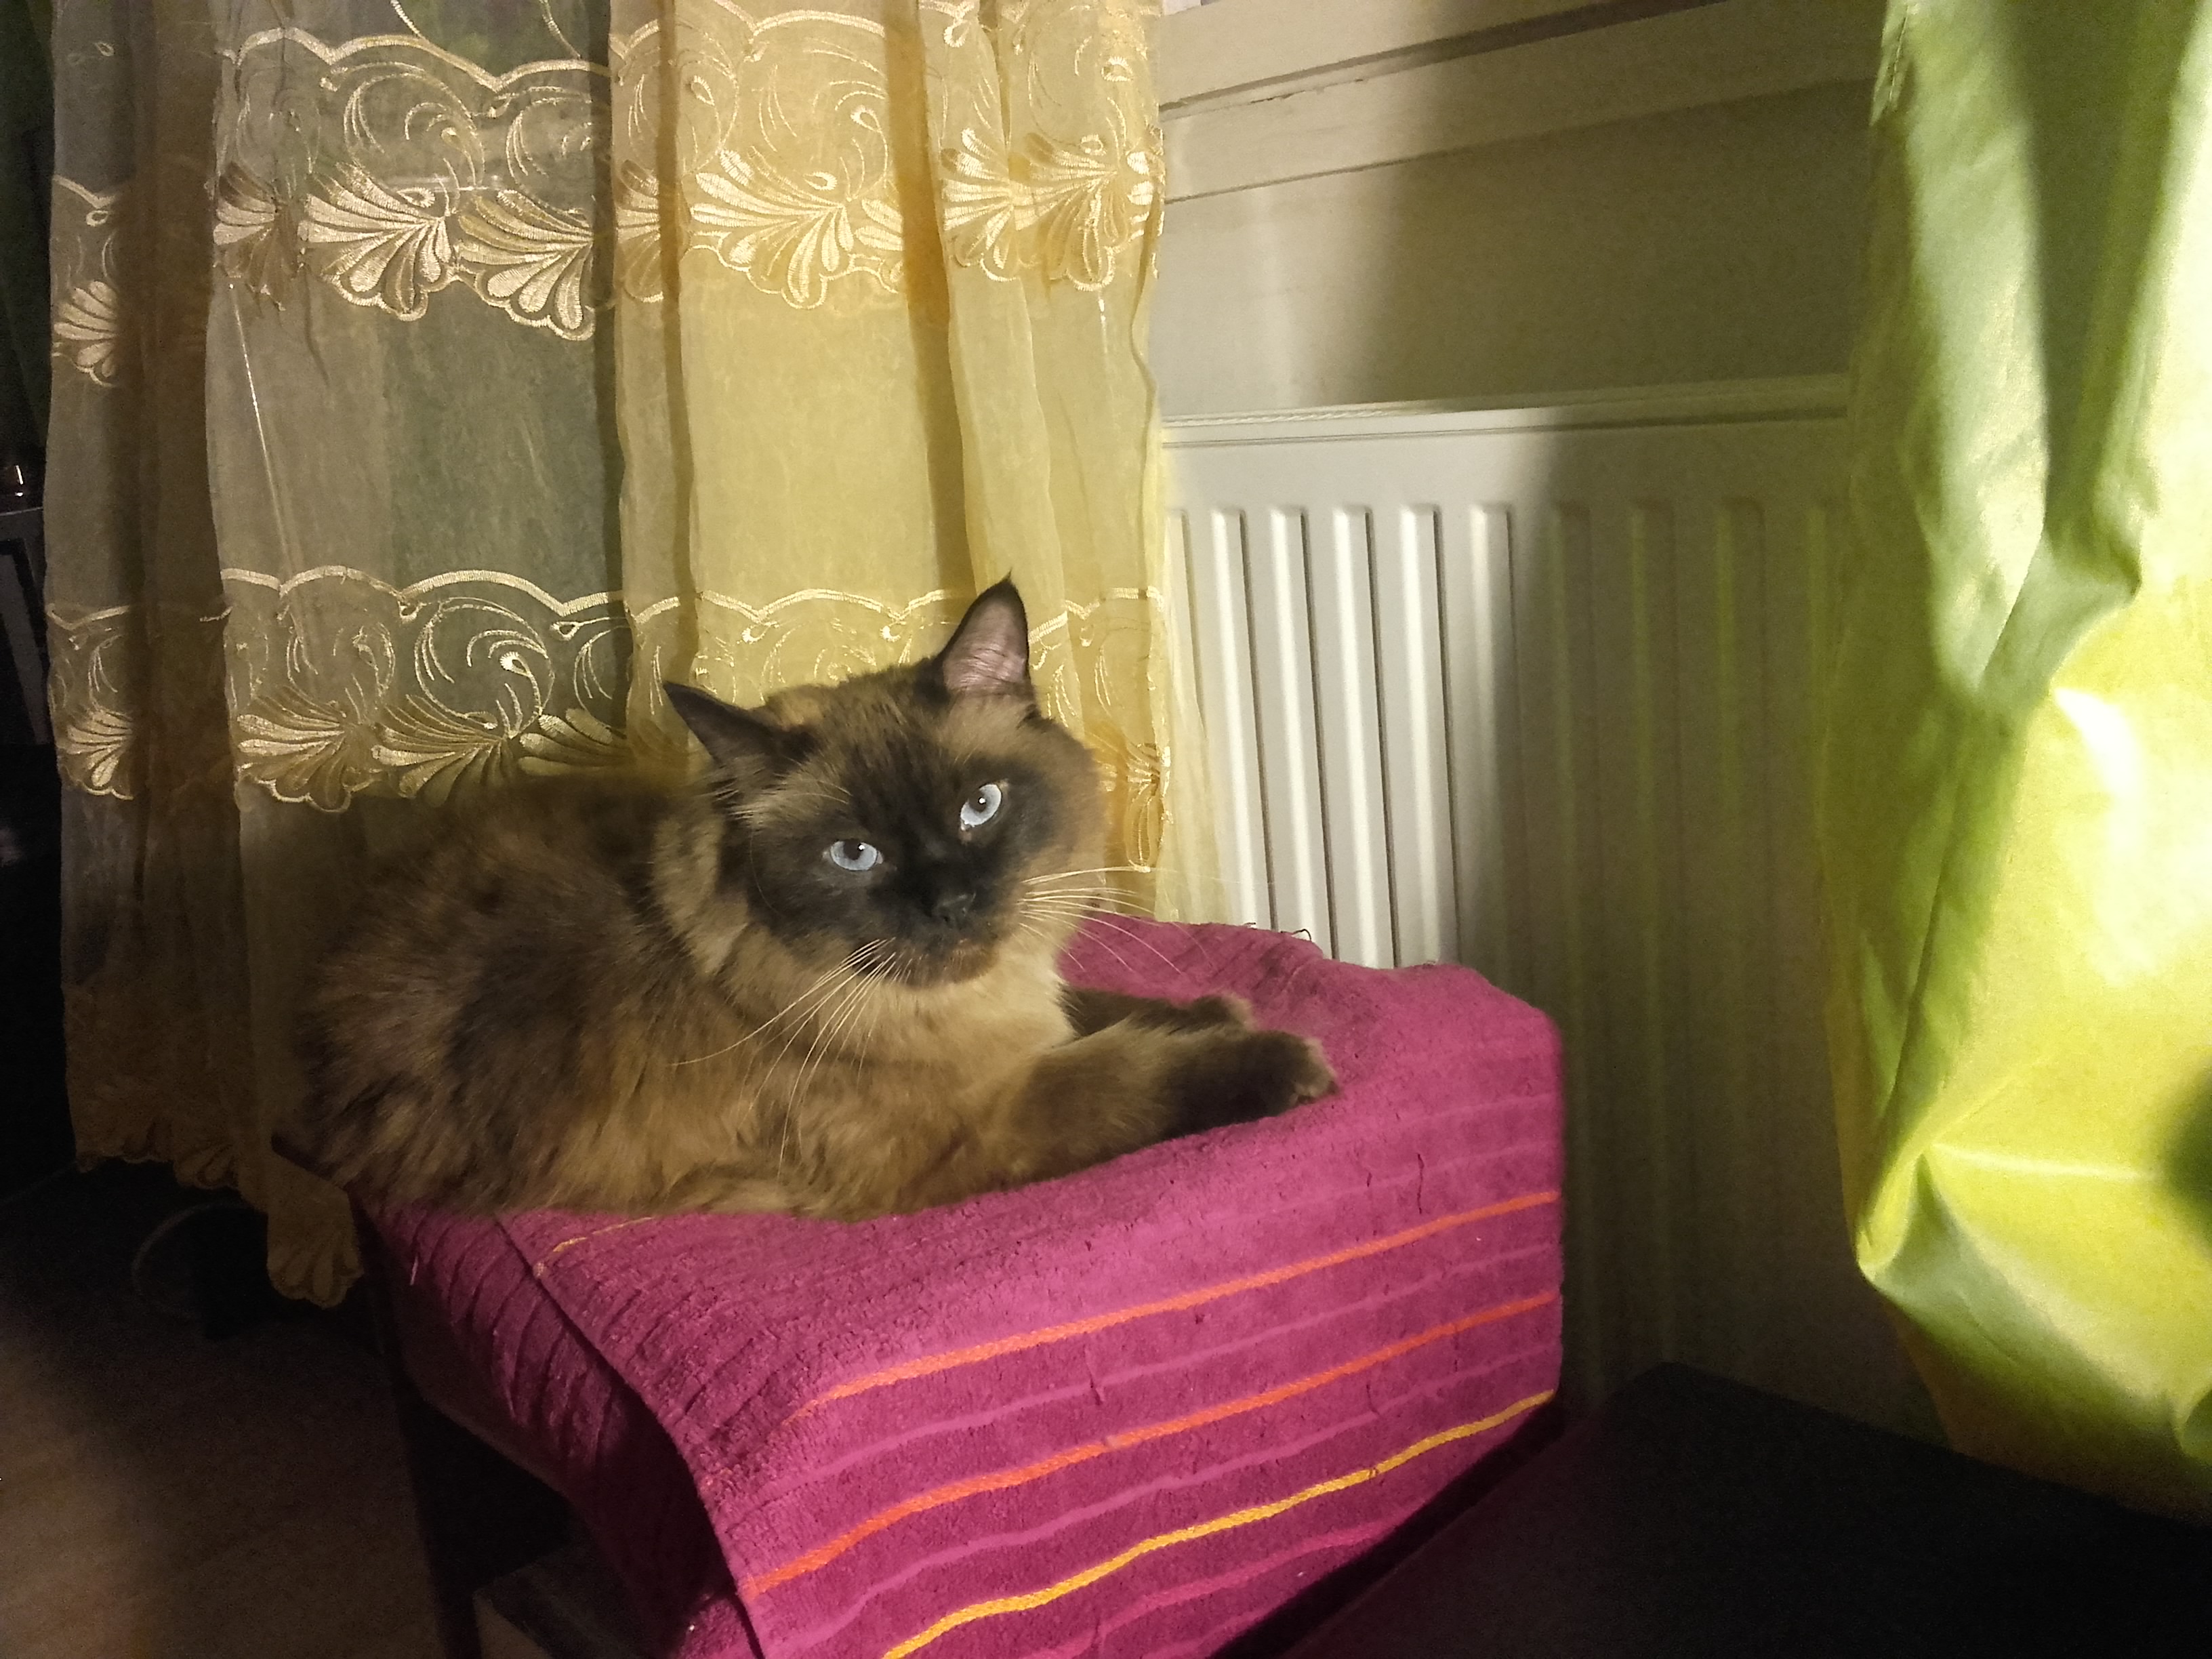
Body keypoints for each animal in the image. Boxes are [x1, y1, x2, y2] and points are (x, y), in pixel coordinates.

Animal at [293, 580, 1335, 1220]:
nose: (951, 903)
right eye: (855, 854)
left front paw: (1216, 1010)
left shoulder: (1021, 1015)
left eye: (980, 807)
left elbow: (1116, 1010)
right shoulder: (979, 1120)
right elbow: (1133, 1074)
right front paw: (1278, 1057)